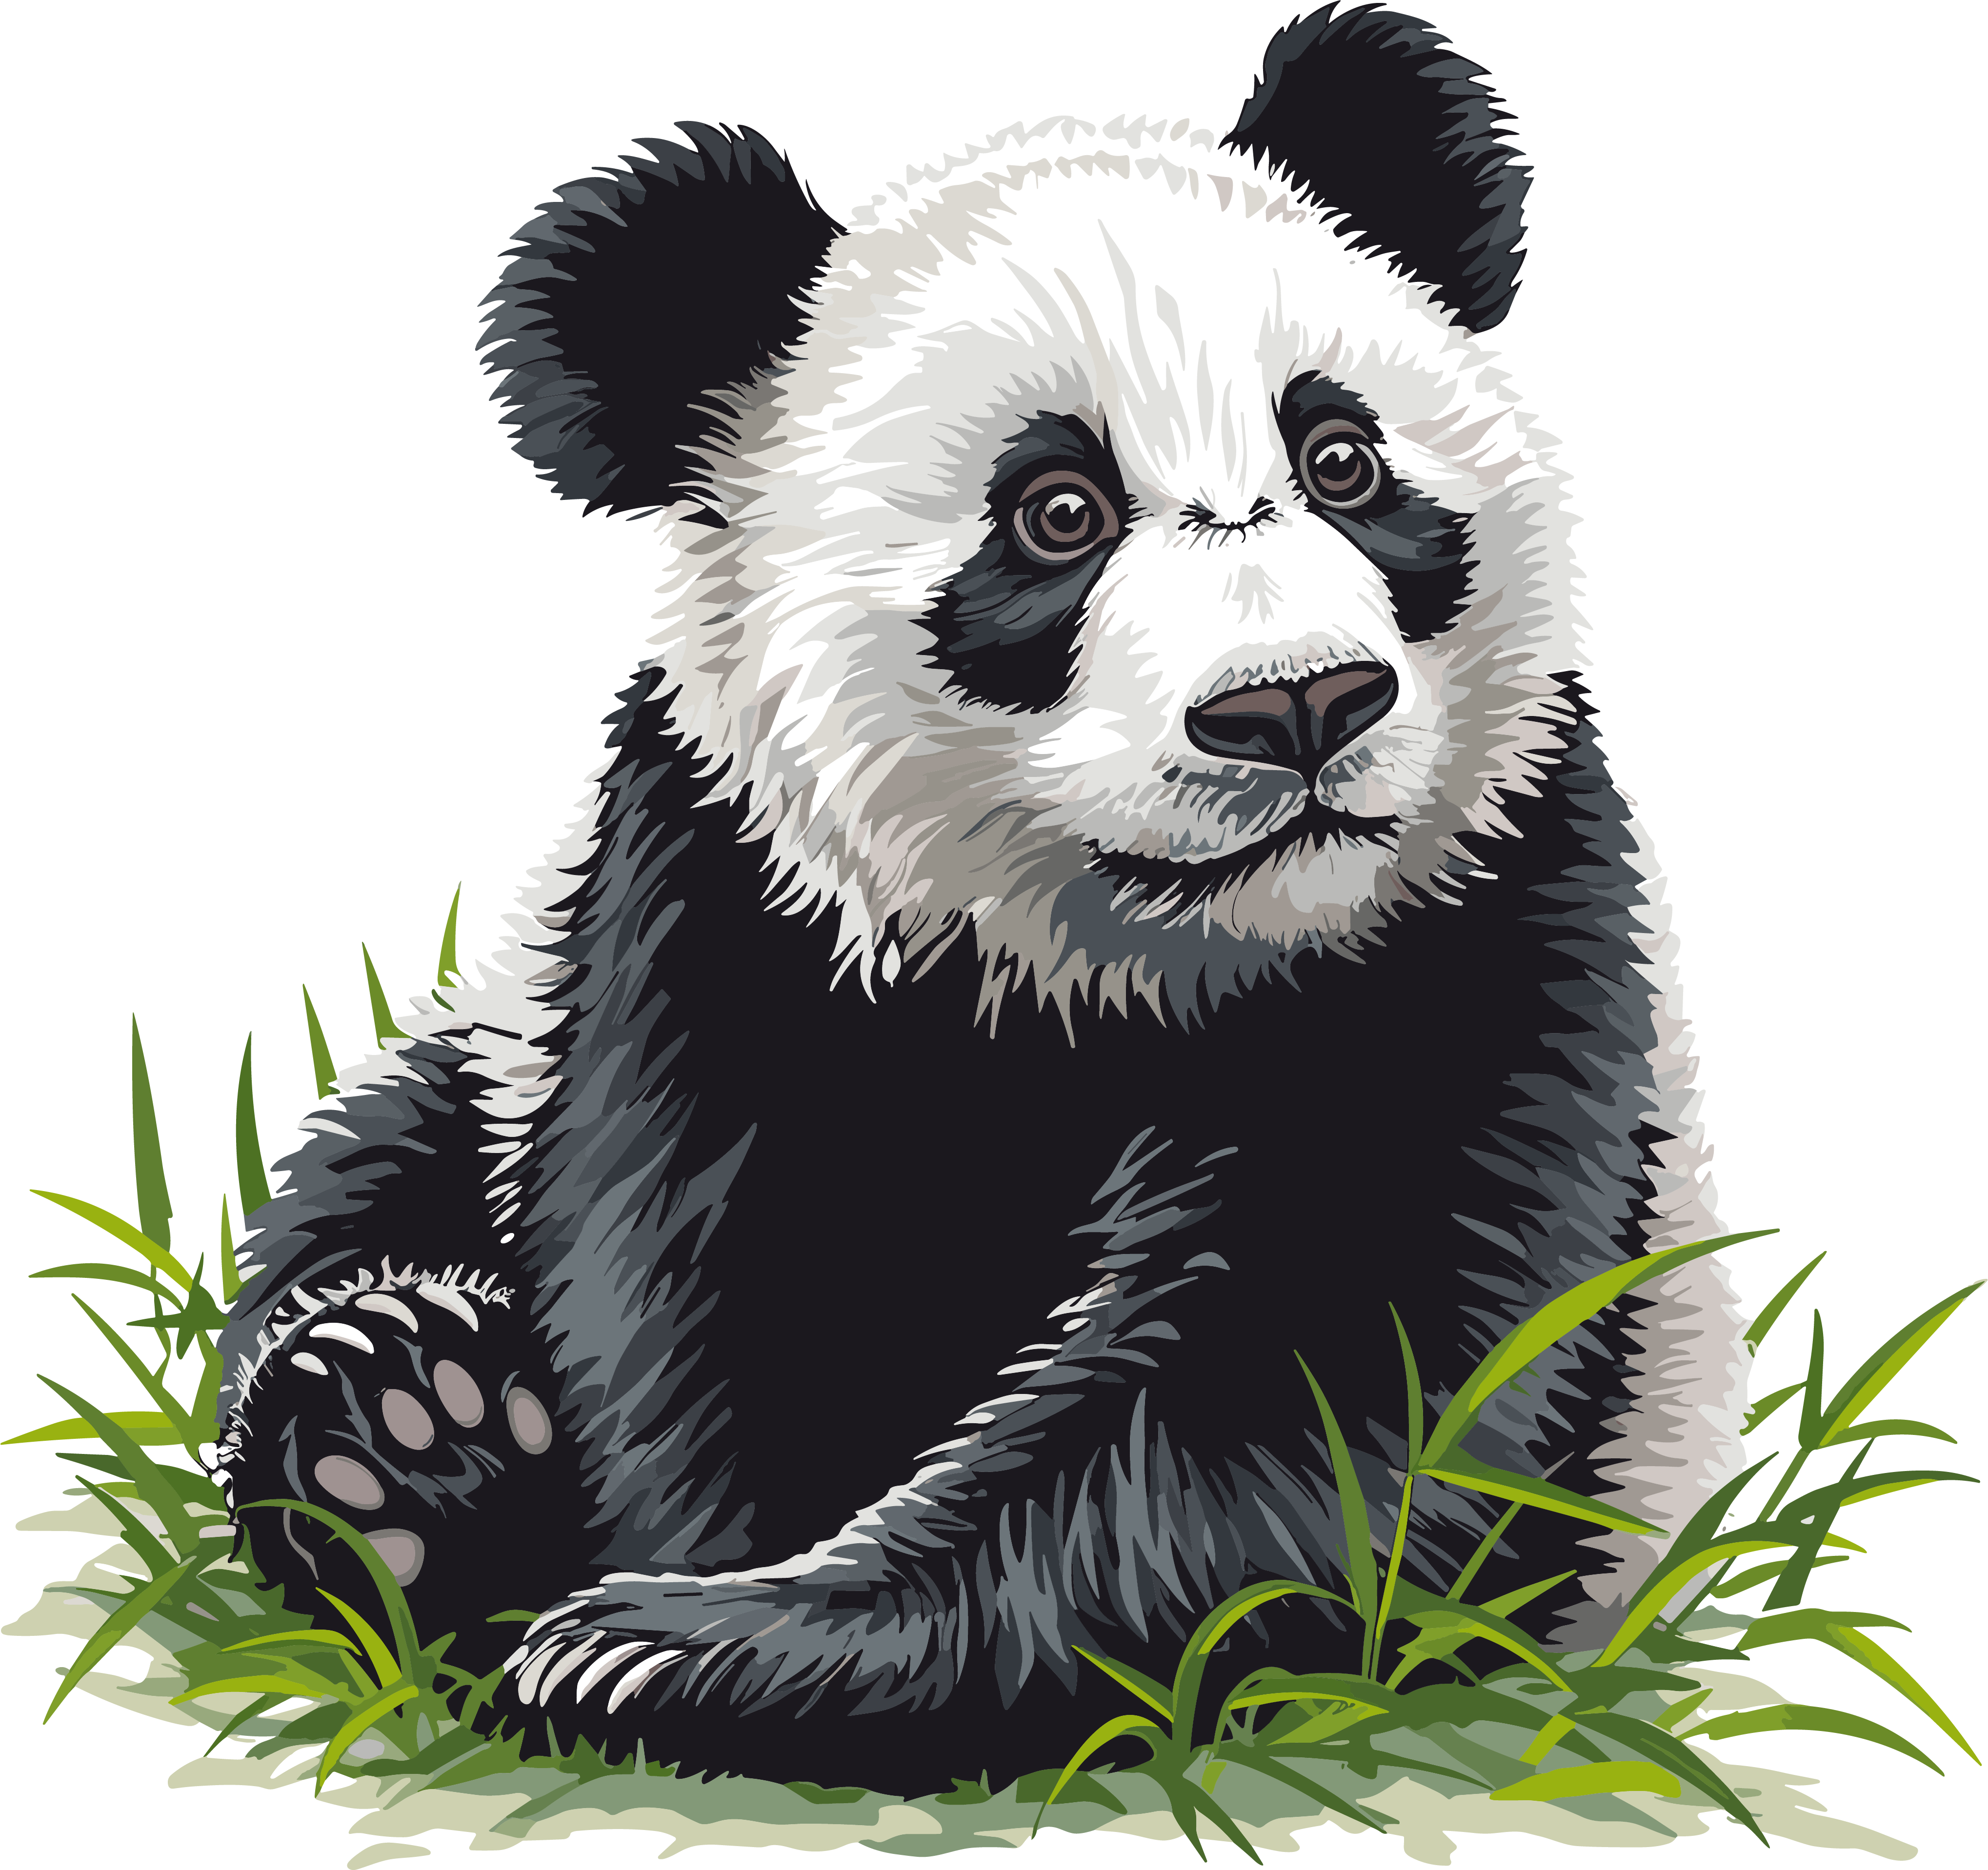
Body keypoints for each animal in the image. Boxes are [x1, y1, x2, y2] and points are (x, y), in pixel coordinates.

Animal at [214, 3, 1740, 1794]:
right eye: (1055, 512)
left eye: (1342, 457)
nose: (1297, 705)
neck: (1129, 967)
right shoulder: (728, 910)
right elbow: (719, 1310)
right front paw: (607, 1584)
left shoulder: (1482, 915)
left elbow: (1323, 1378)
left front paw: (685, 1647)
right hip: (480, 1052)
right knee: (360, 1184)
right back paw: (403, 1426)